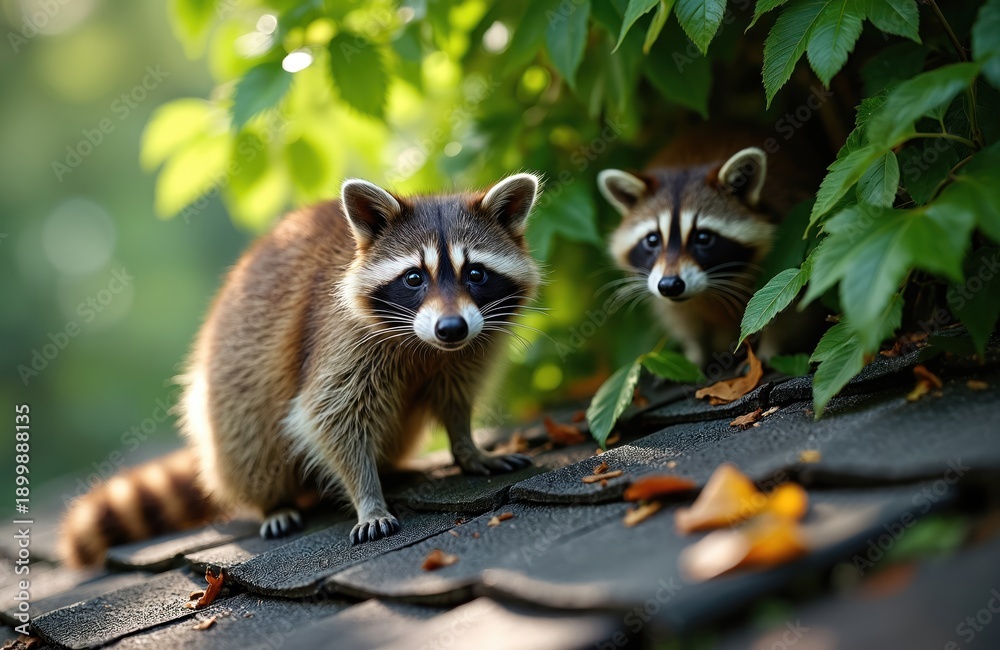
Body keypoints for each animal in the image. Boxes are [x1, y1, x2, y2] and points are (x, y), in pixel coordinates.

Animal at [59, 173, 542, 565]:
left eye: (475, 273)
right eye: (413, 278)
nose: (451, 328)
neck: (425, 345)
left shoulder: (468, 348)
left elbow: (455, 398)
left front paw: (468, 447)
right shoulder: (339, 338)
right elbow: (329, 416)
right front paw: (367, 496)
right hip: (231, 384)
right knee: (248, 438)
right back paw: (274, 502)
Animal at [598, 128, 819, 366]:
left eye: (703, 238)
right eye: (653, 240)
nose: (670, 285)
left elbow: (788, 313)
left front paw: (772, 348)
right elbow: (683, 320)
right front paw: (695, 352)